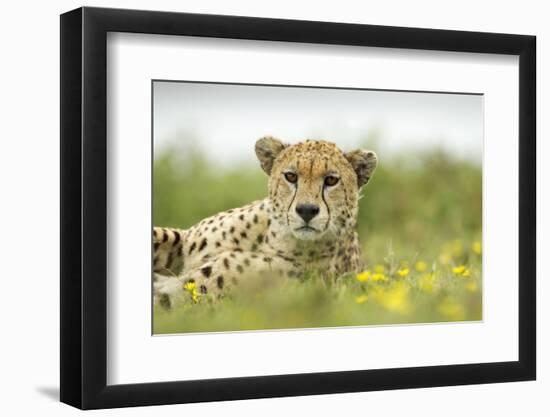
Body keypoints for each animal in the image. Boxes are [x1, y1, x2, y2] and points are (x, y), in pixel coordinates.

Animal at [155, 136, 380, 306]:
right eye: (291, 176)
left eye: (331, 180)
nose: (306, 210)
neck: (270, 237)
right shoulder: (184, 244)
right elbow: (162, 237)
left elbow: (168, 299)